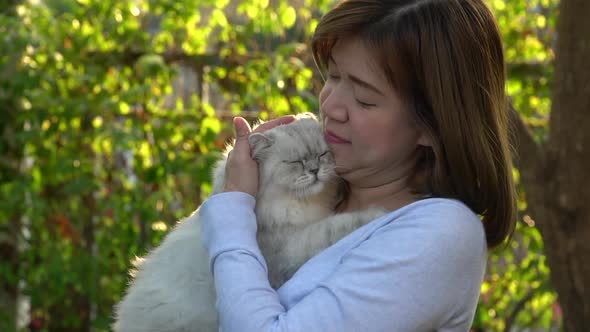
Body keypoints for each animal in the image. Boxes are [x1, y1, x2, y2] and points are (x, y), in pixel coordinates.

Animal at [112, 114, 388, 332]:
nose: (315, 171)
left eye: (322, 155)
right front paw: (380, 213)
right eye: (295, 162)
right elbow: (338, 225)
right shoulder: (288, 248)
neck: (296, 203)